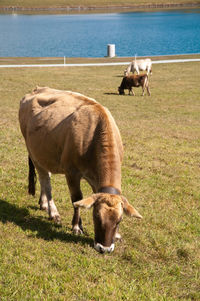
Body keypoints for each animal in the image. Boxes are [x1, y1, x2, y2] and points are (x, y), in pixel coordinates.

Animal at [18, 86, 141, 253]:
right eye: (96, 216)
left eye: (119, 220)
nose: (104, 248)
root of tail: (37, 89)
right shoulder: (72, 172)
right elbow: (77, 199)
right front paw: (77, 226)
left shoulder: (96, 180)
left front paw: (117, 235)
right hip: (34, 153)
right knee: (45, 181)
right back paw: (53, 212)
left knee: (45, 177)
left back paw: (43, 204)